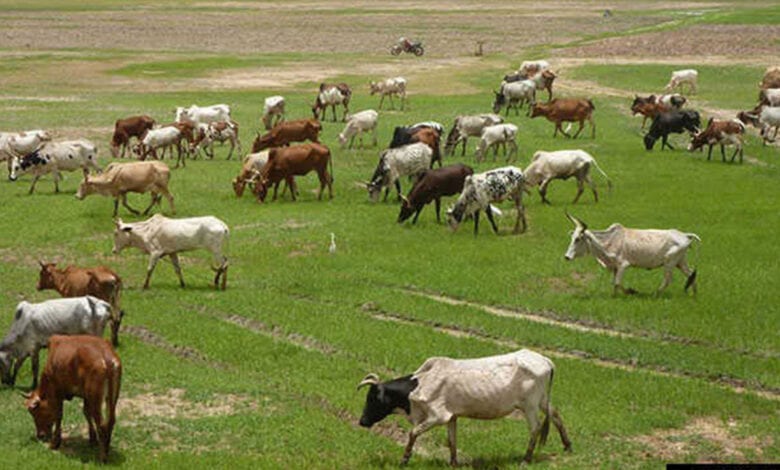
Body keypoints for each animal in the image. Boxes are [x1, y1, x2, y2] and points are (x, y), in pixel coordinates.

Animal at [24, 335, 121, 463]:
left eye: (34, 412)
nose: (40, 435)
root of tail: (107, 358)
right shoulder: (86, 396)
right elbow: (86, 413)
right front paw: (93, 439)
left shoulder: (57, 391)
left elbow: (58, 415)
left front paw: (55, 443)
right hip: (111, 398)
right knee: (111, 420)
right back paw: (106, 448)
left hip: (95, 398)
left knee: (101, 424)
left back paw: (102, 457)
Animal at [357, 349, 572, 466]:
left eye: (372, 398)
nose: (362, 421)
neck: (418, 385)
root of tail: (545, 360)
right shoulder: (452, 417)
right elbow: (452, 441)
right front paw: (453, 463)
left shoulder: (438, 416)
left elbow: (413, 433)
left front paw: (404, 460)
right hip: (542, 401)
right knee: (556, 414)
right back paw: (568, 447)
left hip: (530, 405)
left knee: (535, 427)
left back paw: (526, 459)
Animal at [564, 213, 699, 295]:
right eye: (572, 237)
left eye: (578, 239)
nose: (567, 257)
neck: (609, 241)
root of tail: (685, 235)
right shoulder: (615, 267)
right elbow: (614, 283)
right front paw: (615, 295)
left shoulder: (623, 265)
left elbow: (618, 283)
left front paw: (631, 291)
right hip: (680, 262)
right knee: (691, 274)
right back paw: (693, 294)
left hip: (669, 263)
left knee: (667, 280)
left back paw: (655, 294)